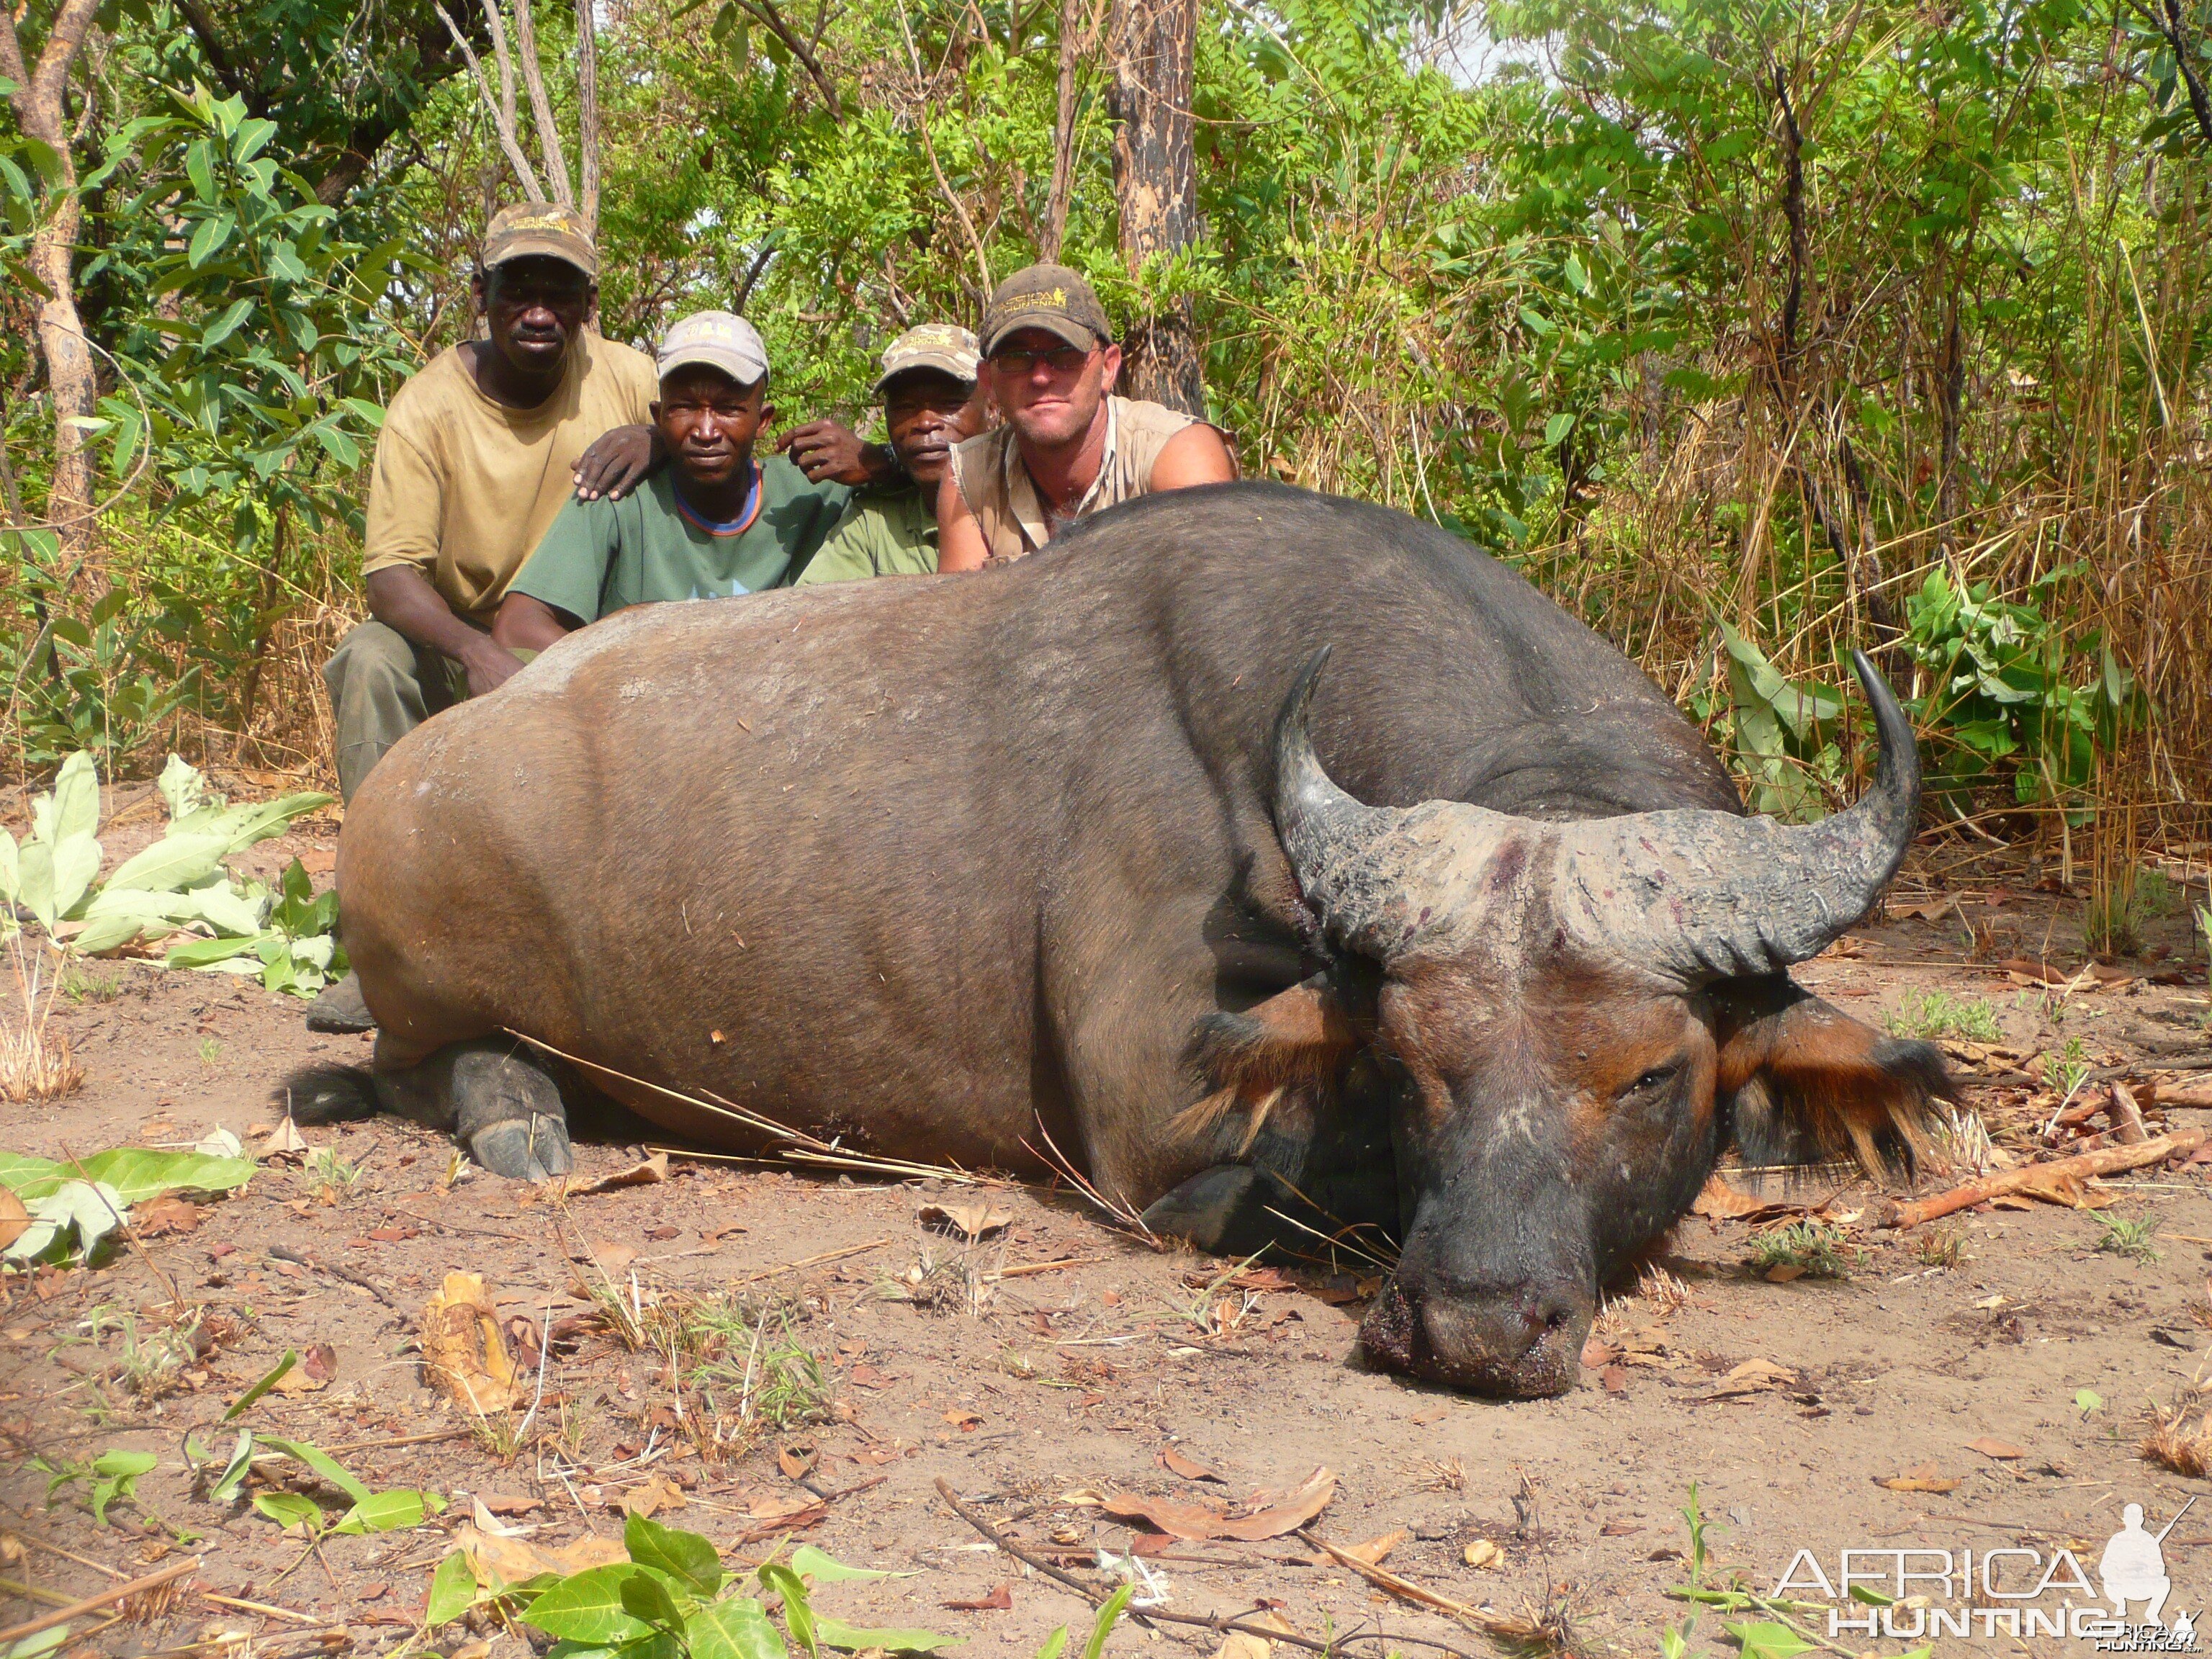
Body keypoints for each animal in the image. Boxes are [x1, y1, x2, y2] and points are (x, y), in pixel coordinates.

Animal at [307, 484, 1938, 1406]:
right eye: (1412, 1061)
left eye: (1652, 1075)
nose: (1471, 1326)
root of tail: (421, 774)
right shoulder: (1156, 1127)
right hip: (430, 980)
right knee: (415, 1064)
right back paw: (517, 1114)